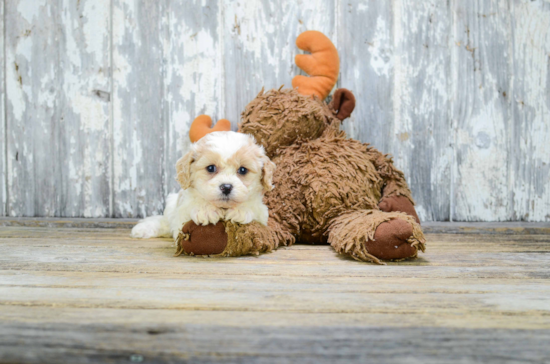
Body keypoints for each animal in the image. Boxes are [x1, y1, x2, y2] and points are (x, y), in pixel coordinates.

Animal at [130, 132, 276, 242]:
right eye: (210, 168)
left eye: (243, 170)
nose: (226, 187)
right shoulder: (181, 215)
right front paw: (206, 210)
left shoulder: (262, 216)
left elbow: (253, 207)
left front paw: (240, 210)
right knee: (166, 222)